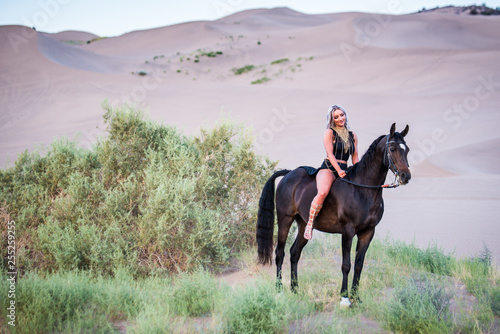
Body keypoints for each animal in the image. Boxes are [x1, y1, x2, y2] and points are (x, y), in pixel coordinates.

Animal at [258, 123, 410, 306]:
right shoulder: (348, 231)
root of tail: (288, 173)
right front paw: (344, 298)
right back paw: (279, 289)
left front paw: (356, 296)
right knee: (280, 254)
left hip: (304, 225)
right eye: (393, 149)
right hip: (285, 220)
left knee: (294, 253)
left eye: (407, 149)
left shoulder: (368, 232)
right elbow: (346, 265)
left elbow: (359, 265)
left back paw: (295, 289)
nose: (406, 176)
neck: (363, 189)